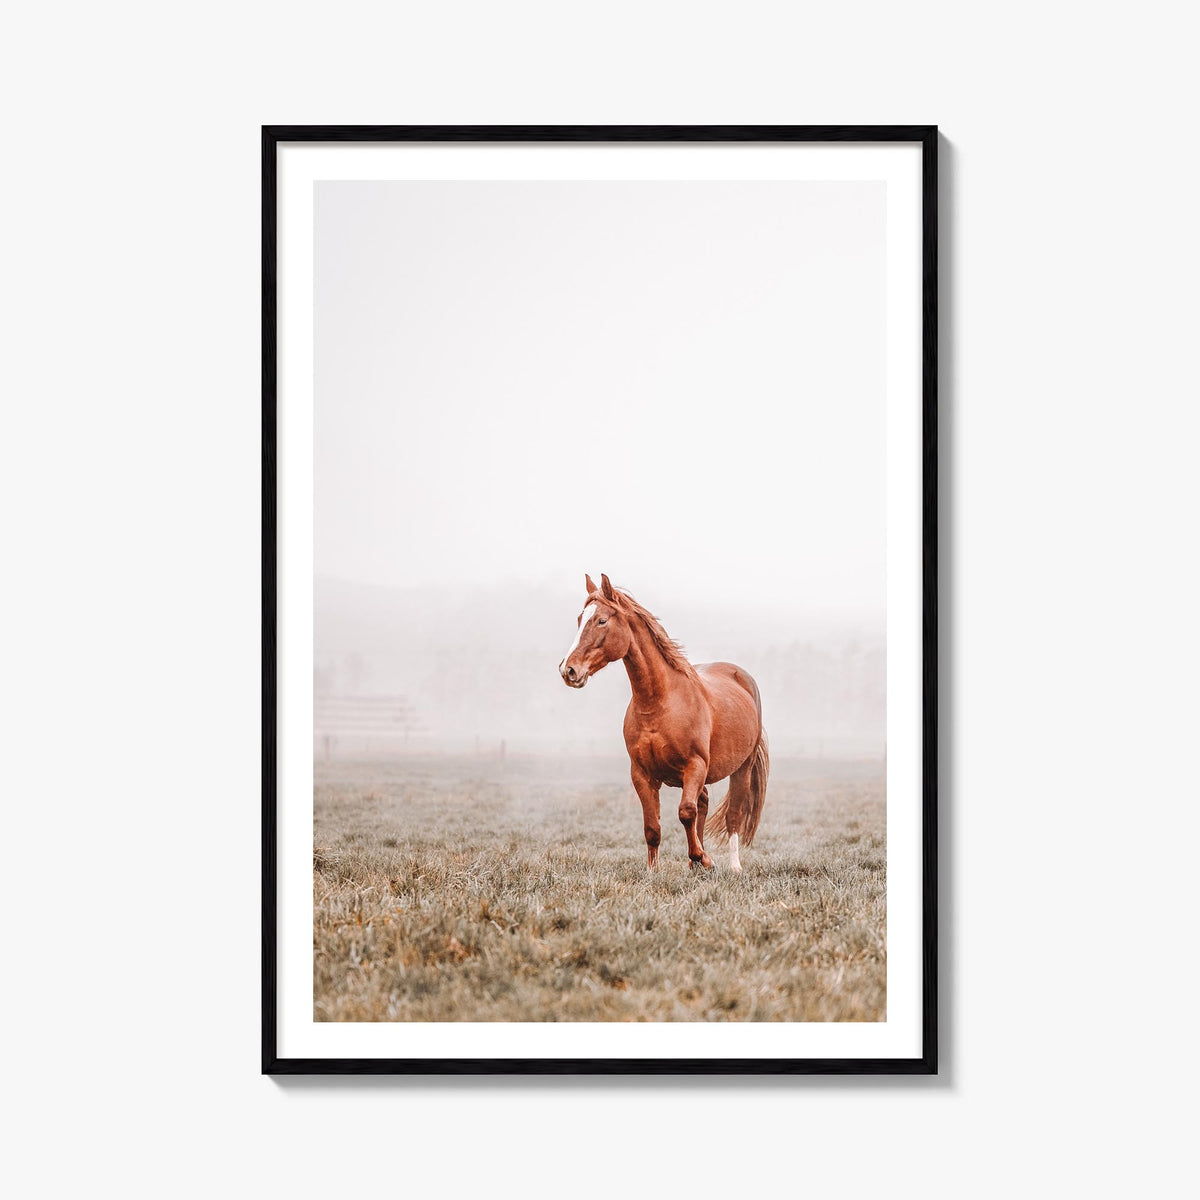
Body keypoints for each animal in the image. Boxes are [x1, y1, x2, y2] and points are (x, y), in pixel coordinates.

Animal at [558, 574, 769, 872]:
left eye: (601, 620)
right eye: (580, 618)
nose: (569, 670)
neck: (659, 703)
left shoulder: (695, 765)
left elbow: (685, 812)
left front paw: (704, 858)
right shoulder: (642, 774)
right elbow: (653, 827)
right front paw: (654, 870)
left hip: (742, 768)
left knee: (732, 814)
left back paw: (733, 866)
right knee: (703, 803)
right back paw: (694, 865)